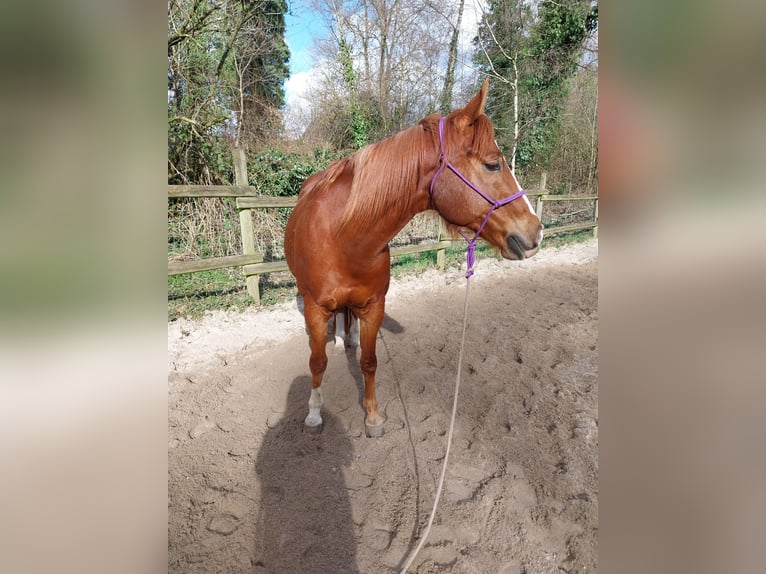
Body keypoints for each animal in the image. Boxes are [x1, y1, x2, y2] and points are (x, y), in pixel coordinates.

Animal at [284, 80, 543, 437]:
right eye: (493, 164)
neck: (343, 239)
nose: (536, 230)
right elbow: (317, 362)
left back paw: (348, 338)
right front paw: (313, 412)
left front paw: (373, 417)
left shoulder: (374, 306)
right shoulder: (314, 307)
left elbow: (369, 362)